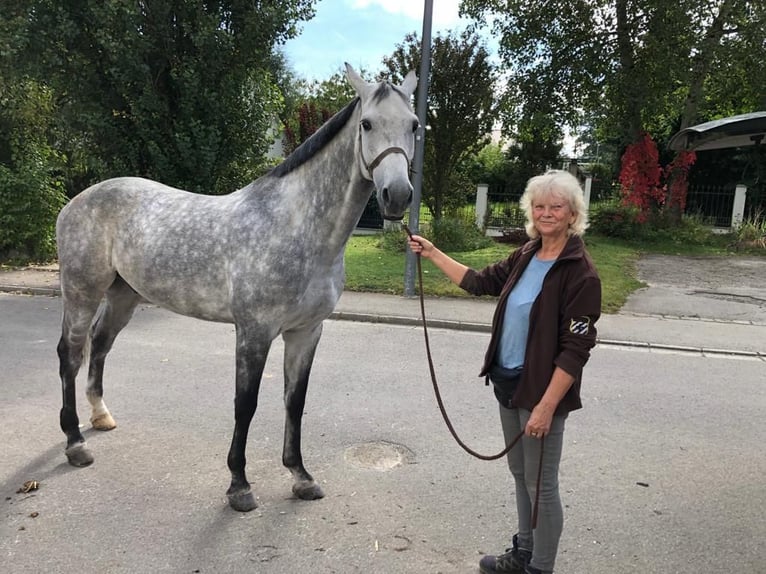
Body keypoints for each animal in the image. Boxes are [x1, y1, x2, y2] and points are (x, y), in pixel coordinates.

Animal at [54, 64, 420, 512]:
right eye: (367, 123)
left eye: (414, 125)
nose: (397, 195)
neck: (296, 227)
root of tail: (75, 202)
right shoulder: (253, 332)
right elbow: (245, 405)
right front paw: (239, 485)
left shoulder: (306, 332)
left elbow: (295, 402)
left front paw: (301, 476)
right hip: (81, 292)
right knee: (70, 355)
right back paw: (75, 443)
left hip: (123, 295)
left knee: (101, 343)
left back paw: (101, 416)